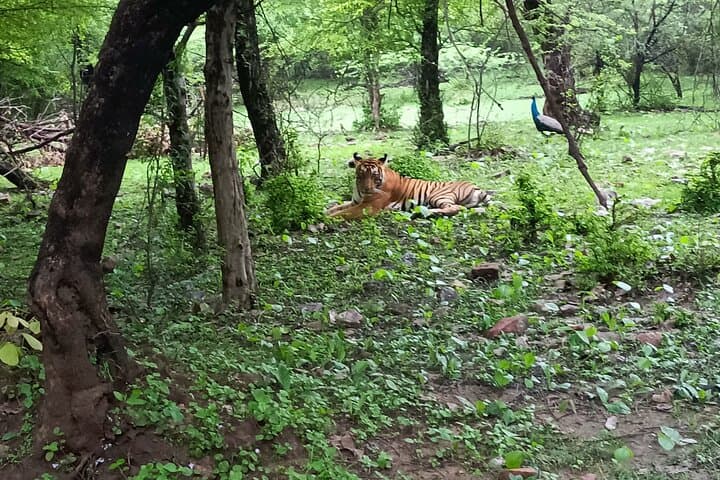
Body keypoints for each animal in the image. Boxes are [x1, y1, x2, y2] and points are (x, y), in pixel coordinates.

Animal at [326, 153, 491, 220]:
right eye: (361, 175)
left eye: (374, 176)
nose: (367, 189)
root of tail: (476, 186)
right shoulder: (355, 202)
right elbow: (335, 208)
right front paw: (324, 212)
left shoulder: (368, 206)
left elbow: (342, 213)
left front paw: (325, 220)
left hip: (438, 195)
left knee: (455, 208)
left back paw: (426, 213)